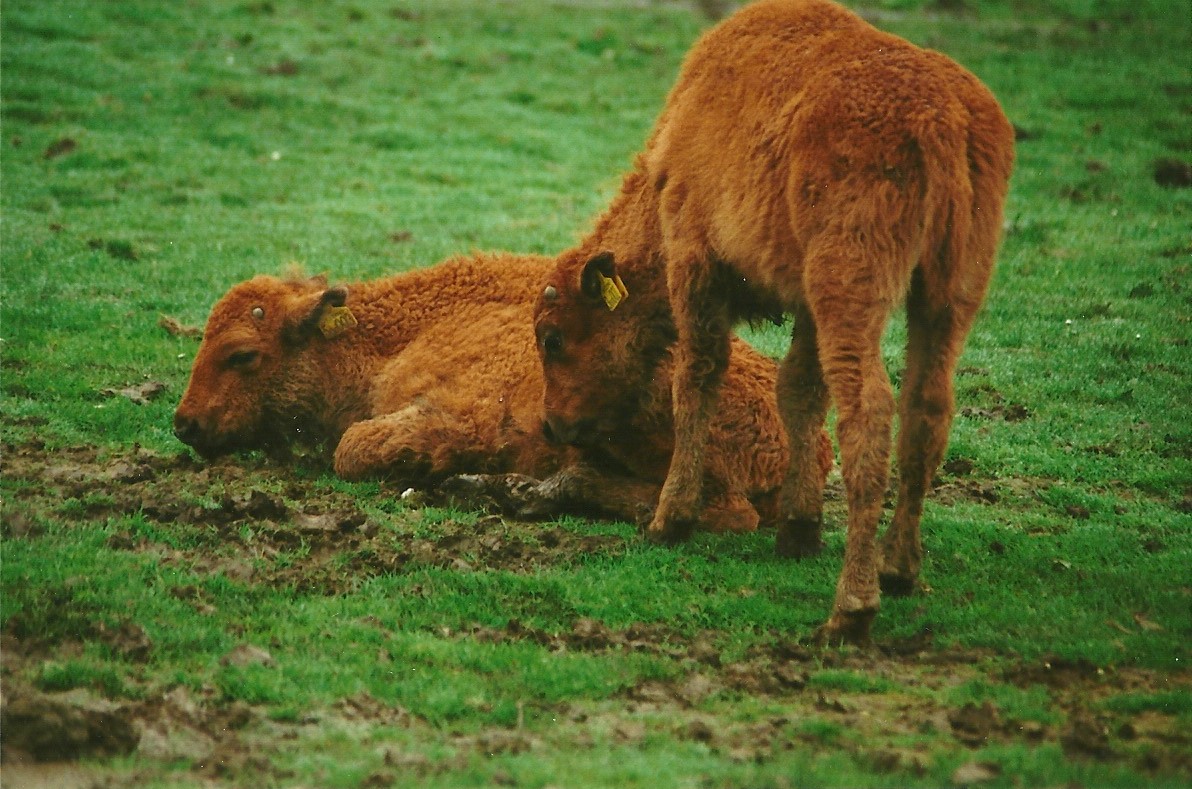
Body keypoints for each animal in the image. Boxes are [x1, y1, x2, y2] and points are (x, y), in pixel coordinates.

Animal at [173, 252, 833, 530]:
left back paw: (522, 490)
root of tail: (808, 448)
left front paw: (426, 470)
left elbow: (353, 449)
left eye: (242, 354)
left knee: (727, 513)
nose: (185, 423)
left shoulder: (455, 414)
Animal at [533, 0, 1015, 643]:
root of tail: (940, 116)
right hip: (948, 294)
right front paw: (798, 530)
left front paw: (670, 520)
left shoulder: (696, 262)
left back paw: (850, 610)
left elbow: (697, 378)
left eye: (554, 338)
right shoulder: (806, 304)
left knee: (868, 414)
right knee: (926, 411)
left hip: (852, 287)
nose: (553, 425)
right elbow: (799, 392)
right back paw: (898, 571)